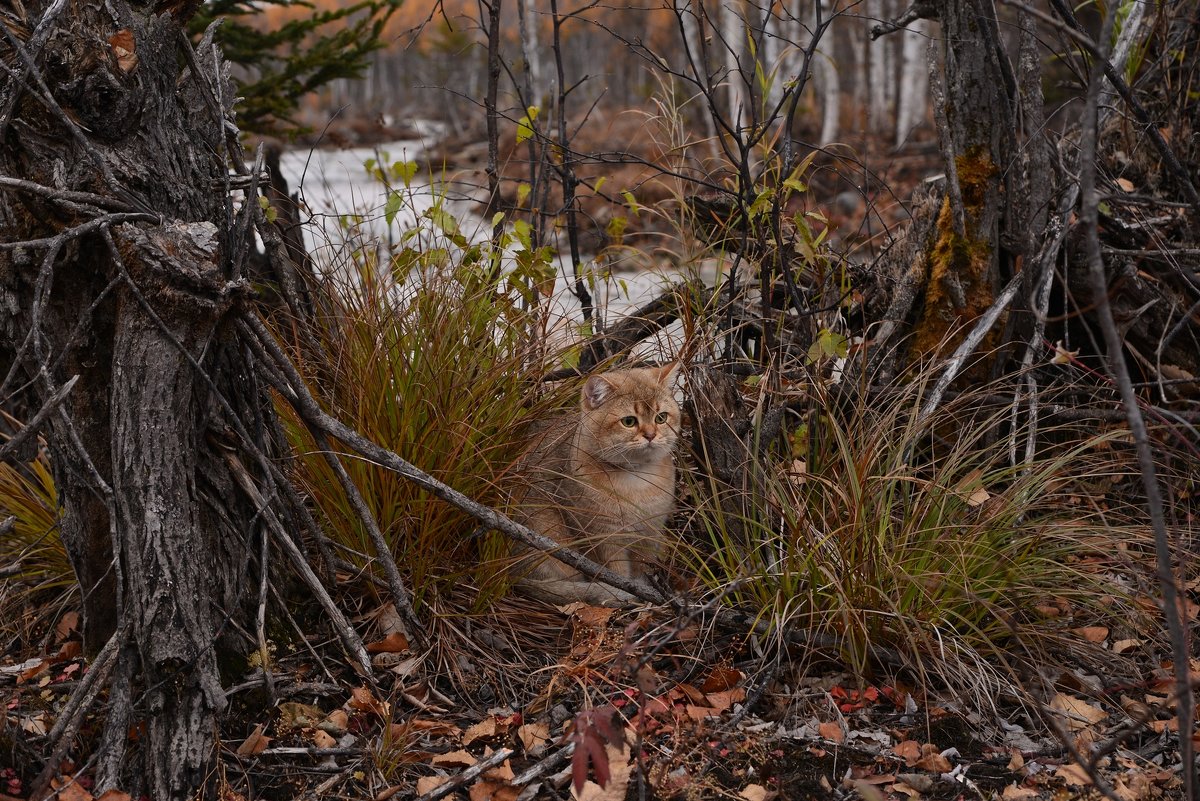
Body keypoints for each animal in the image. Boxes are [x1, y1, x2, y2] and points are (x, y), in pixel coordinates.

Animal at [511, 359, 681, 604]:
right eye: (629, 421)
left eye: (661, 417)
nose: (650, 435)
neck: (636, 482)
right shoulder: (601, 538)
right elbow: (618, 574)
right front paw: (628, 595)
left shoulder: (650, 532)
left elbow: (644, 568)